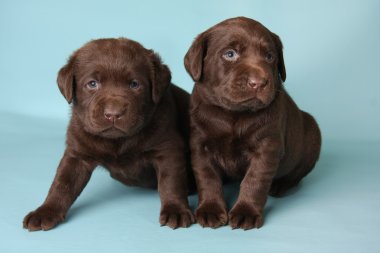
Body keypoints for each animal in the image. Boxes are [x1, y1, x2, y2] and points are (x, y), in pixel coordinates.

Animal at [23, 38, 194, 231]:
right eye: (92, 84)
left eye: (134, 84)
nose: (113, 113)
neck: (118, 141)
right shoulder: (77, 154)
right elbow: (62, 184)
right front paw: (45, 211)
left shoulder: (167, 149)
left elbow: (171, 182)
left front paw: (176, 209)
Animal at [186, 16, 322, 230]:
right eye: (230, 54)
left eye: (269, 56)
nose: (258, 82)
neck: (233, 114)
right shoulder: (200, 146)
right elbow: (207, 177)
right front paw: (210, 209)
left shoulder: (266, 147)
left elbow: (254, 180)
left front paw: (246, 212)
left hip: (312, 133)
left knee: (297, 174)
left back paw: (280, 185)